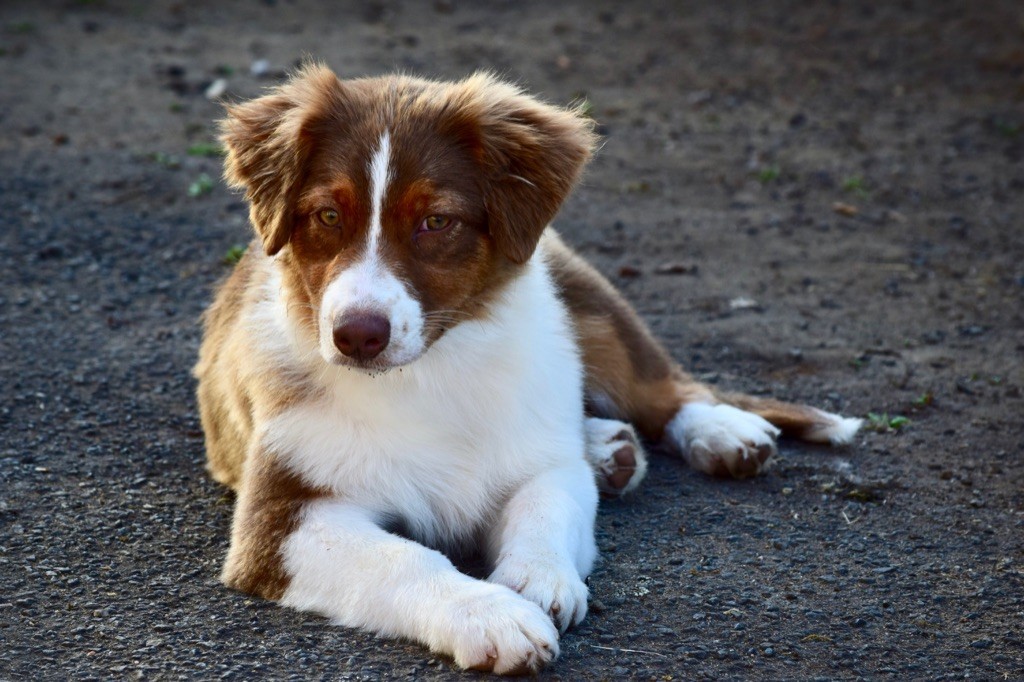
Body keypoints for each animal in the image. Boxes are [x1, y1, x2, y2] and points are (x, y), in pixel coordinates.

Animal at [193, 66, 864, 671]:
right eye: (328, 217)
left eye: (437, 221)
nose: (357, 336)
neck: (431, 373)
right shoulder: (282, 519)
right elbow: (402, 559)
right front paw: (489, 616)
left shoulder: (543, 457)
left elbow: (545, 505)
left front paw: (537, 580)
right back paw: (610, 448)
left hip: (587, 301)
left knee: (661, 382)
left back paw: (718, 431)